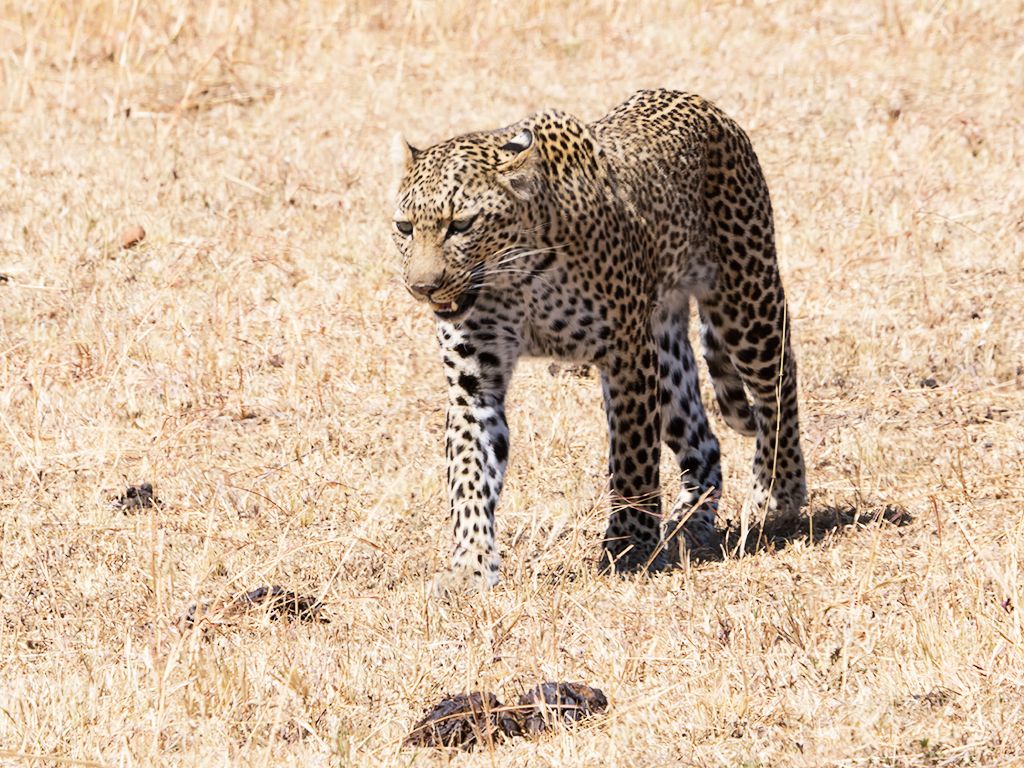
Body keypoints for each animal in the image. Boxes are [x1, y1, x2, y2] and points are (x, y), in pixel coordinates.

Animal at [390, 89, 807, 588]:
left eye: (461, 225)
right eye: (404, 228)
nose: (422, 287)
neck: (518, 277)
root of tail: (702, 103)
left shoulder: (626, 356)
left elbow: (632, 460)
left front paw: (629, 545)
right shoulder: (475, 385)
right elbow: (471, 474)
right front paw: (470, 565)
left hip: (745, 301)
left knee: (778, 388)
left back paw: (778, 495)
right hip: (666, 352)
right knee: (703, 442)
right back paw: (687, 527)